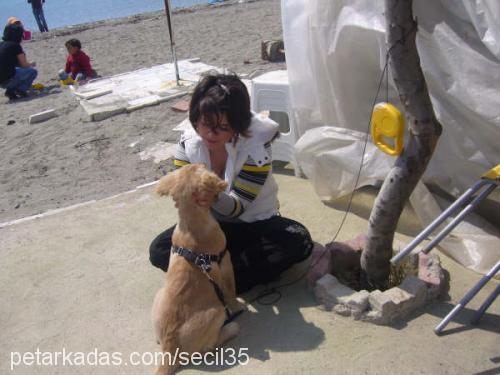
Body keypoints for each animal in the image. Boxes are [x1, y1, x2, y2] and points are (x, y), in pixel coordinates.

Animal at [152, 164, 246, 375]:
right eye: (201, 167)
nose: (203, 163)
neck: (190, 225)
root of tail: (169, 349)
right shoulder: (225, 261)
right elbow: (231, 290)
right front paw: (238, 306)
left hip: (158, 294)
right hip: (217, 312)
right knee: (209, 347)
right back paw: (232, 328)